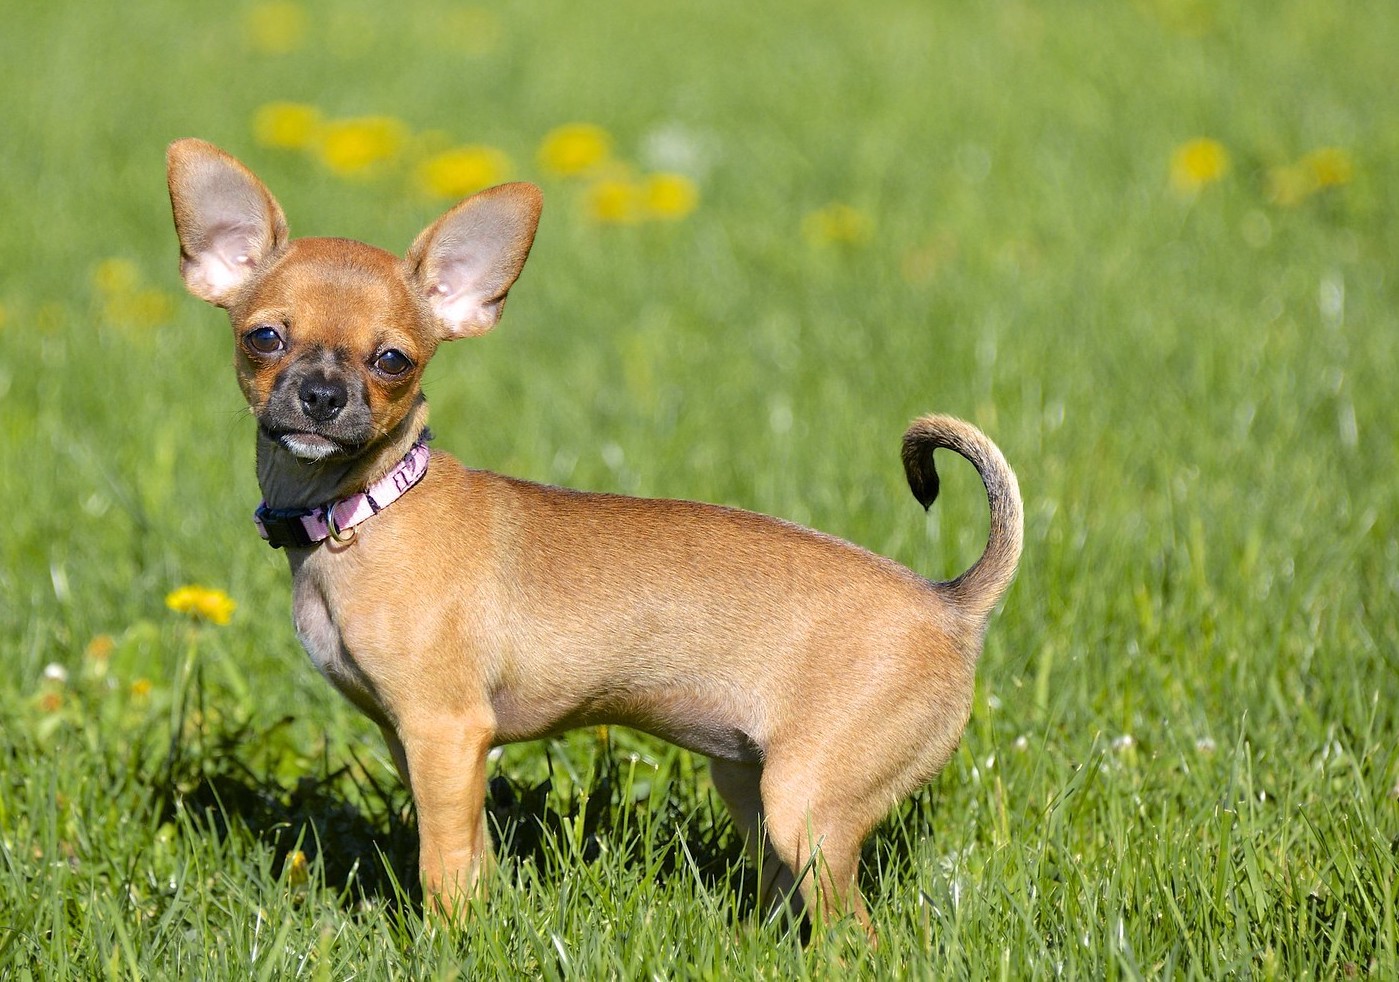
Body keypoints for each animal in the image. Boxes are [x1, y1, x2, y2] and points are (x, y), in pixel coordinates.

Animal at [163, 136, 1024, 928]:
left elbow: (442, 867)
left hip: (807, 802)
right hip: (751, 784)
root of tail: (950, 603)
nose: (320, 394)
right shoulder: (423, 745)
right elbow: (470, 855)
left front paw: (446, 941)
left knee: (856, 934)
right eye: (264, 338)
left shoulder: (445, 731)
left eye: (392, 361)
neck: (369, 507)